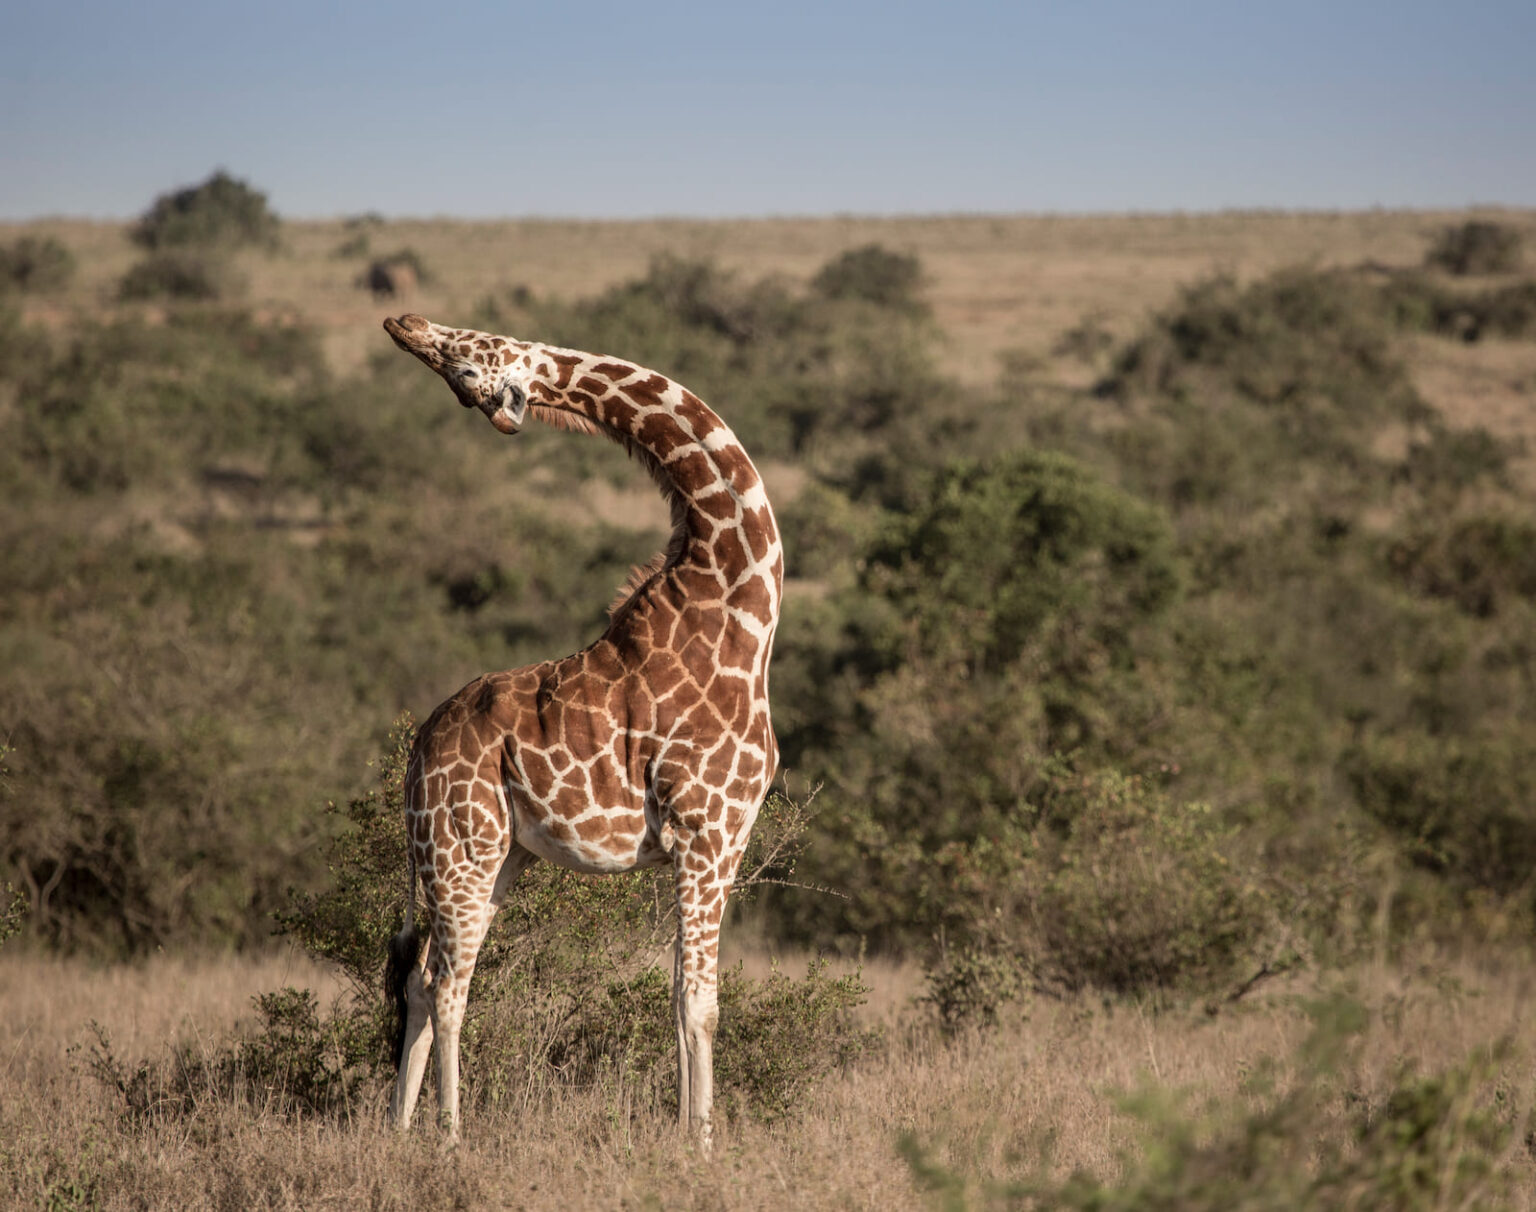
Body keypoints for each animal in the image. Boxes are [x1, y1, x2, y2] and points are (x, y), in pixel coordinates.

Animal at [380, 313, 783, 1151]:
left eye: (464, 367)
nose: (405, 323)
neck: (742, 612)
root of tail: (416, 753)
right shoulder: (705, 834)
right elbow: (698, 1003)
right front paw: (701, 1148)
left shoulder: (723, 841)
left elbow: (686, 996)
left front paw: (691, 1138)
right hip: (462, 848)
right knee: (448, 983)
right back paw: (450, 1136)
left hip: (489, 856)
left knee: (421, 979)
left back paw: (396, 1134)